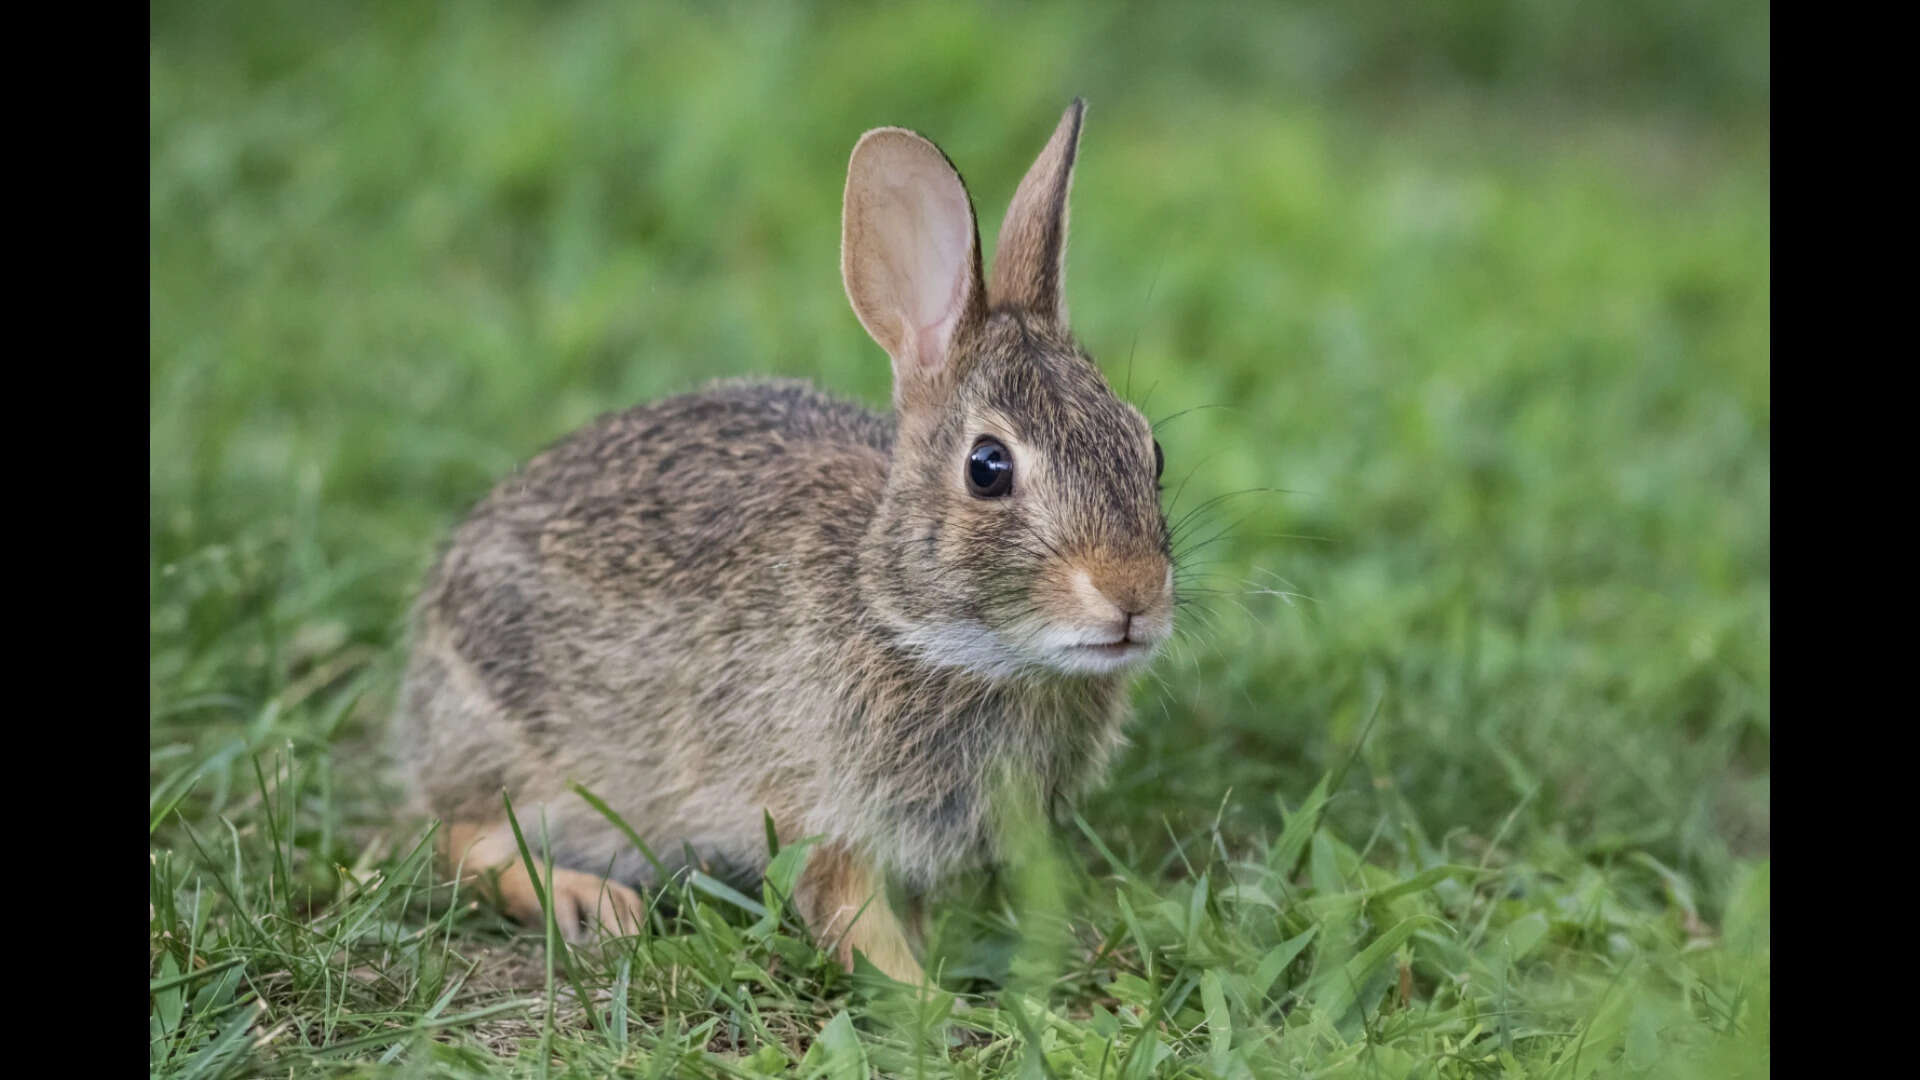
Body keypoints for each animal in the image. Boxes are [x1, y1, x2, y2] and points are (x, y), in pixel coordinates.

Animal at [396, 99, 1174, 987]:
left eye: (1150, 450)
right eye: (987, 468)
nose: (1133, 596)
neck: (918, 626)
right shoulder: (821, 812)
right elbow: (852, 918)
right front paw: (933, 1000)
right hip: (518, 752)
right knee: (458, 839)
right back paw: (588, 903)